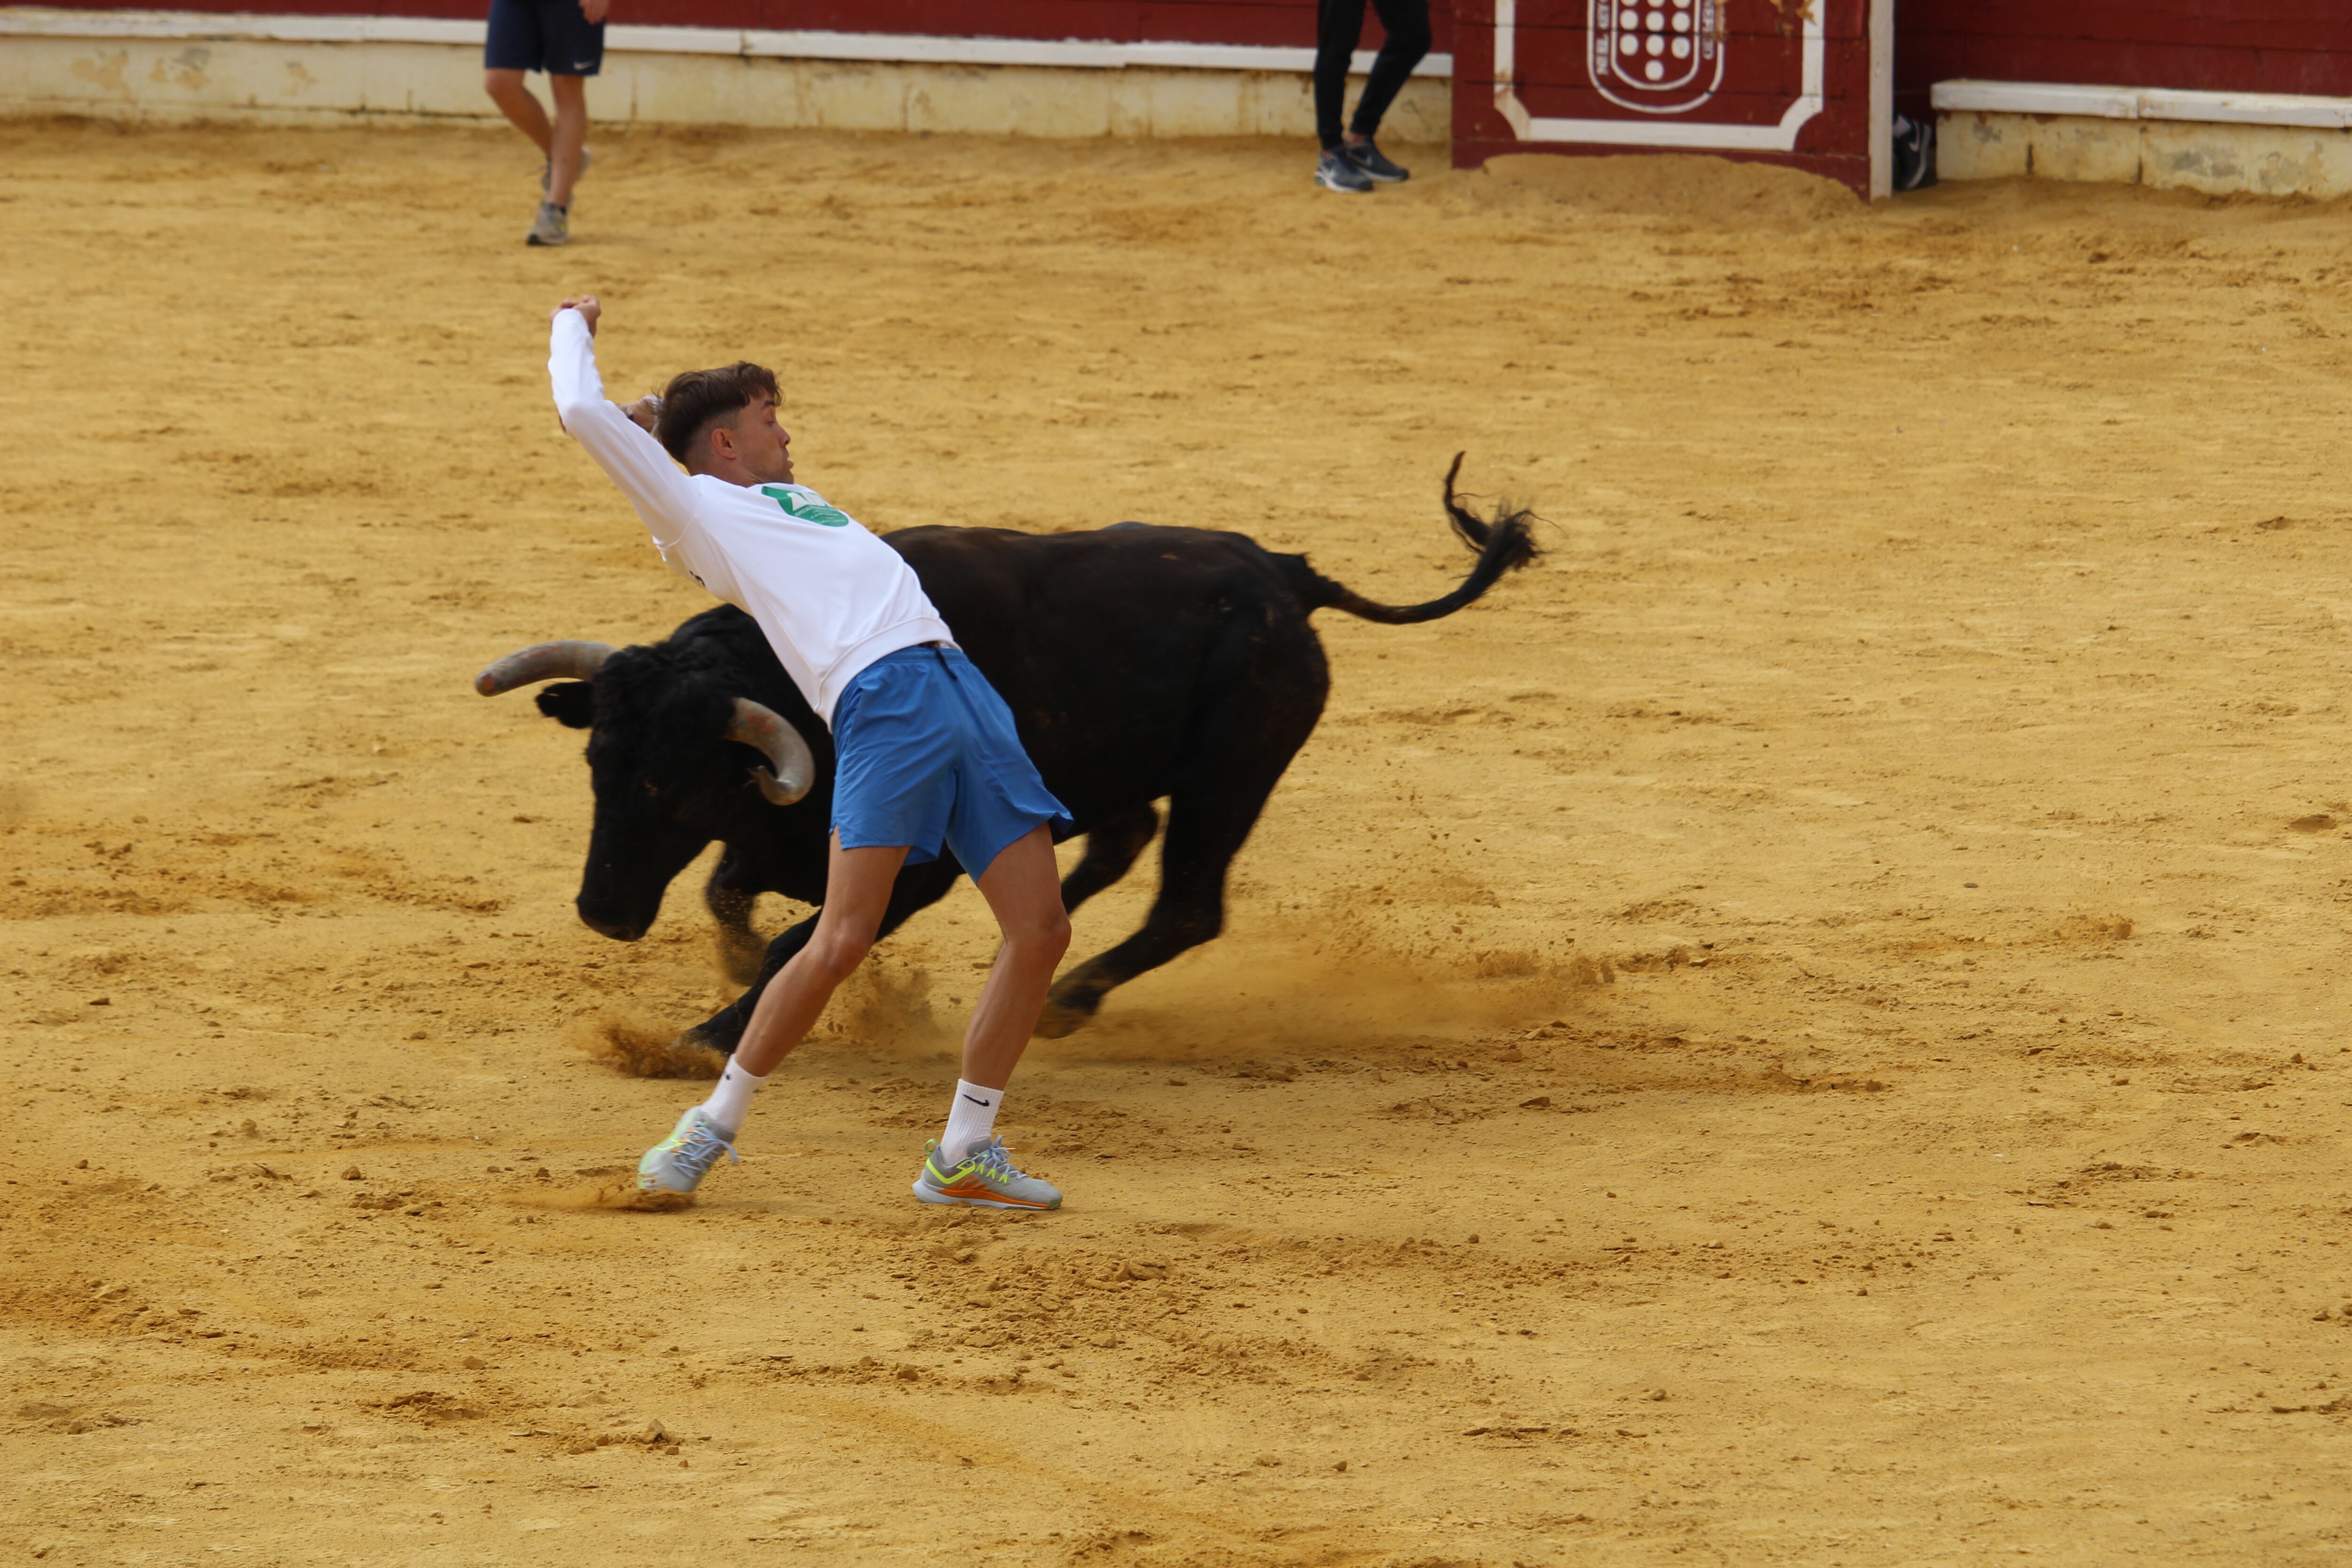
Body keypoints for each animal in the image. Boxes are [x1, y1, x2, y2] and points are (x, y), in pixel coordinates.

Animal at [485, 465, 1534, 1053]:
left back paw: (1067, 997)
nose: (604, 911)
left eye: (674, 784)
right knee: (1115, 847)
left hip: (1230, 777)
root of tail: (1283, 573)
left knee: (1187, 904)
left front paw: (704, 1035)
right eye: (597, 763)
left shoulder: (913, 869)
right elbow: (728, 894)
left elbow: (795, 941)